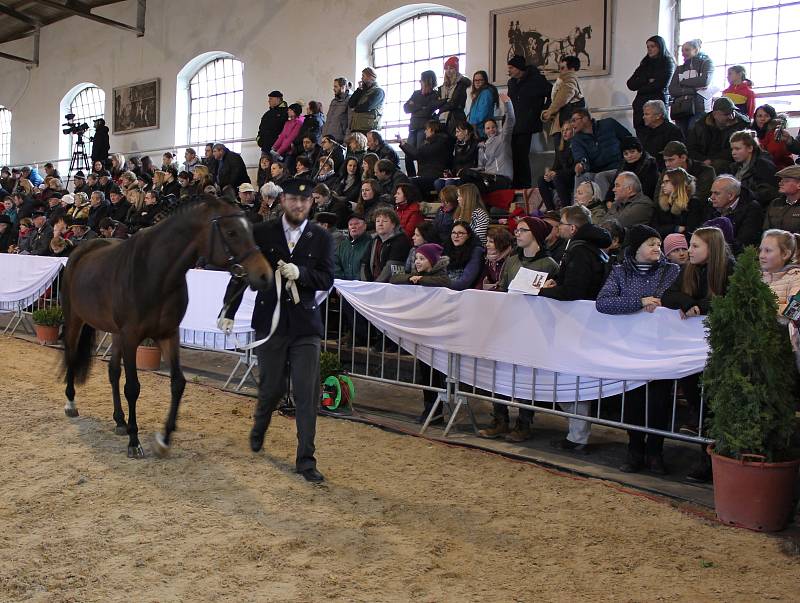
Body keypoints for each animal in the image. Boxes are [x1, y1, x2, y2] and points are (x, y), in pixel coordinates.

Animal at [61, 195, 274, 458]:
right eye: (232, 232)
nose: (265, 275)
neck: (155, 273)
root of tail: (80, 250)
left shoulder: (168, 335)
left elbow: (178, 383)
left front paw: (164, 439)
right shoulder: (132, 336)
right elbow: (133, 388)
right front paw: (134, 442)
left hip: (116, 333)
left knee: (113, 371)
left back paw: (119, 421)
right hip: (75, 319)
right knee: (71, 356)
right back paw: (71, 404)